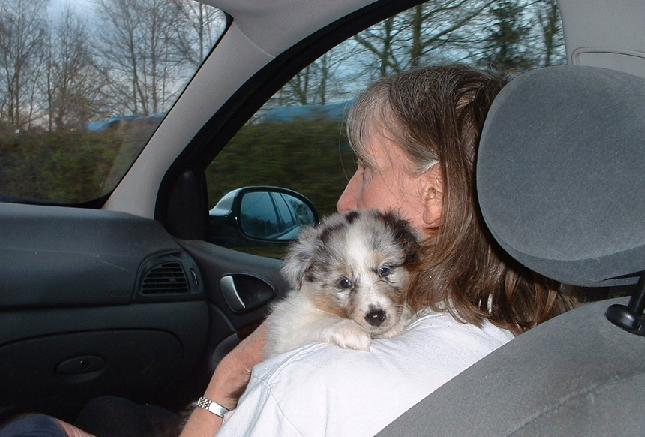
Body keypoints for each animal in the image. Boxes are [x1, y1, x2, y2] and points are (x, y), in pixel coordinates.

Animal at [265, 210, 421, 356]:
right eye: (344, 282)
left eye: (385, 269)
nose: (376, 317)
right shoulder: (287, 331)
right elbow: (320, 322)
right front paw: (352, 331)